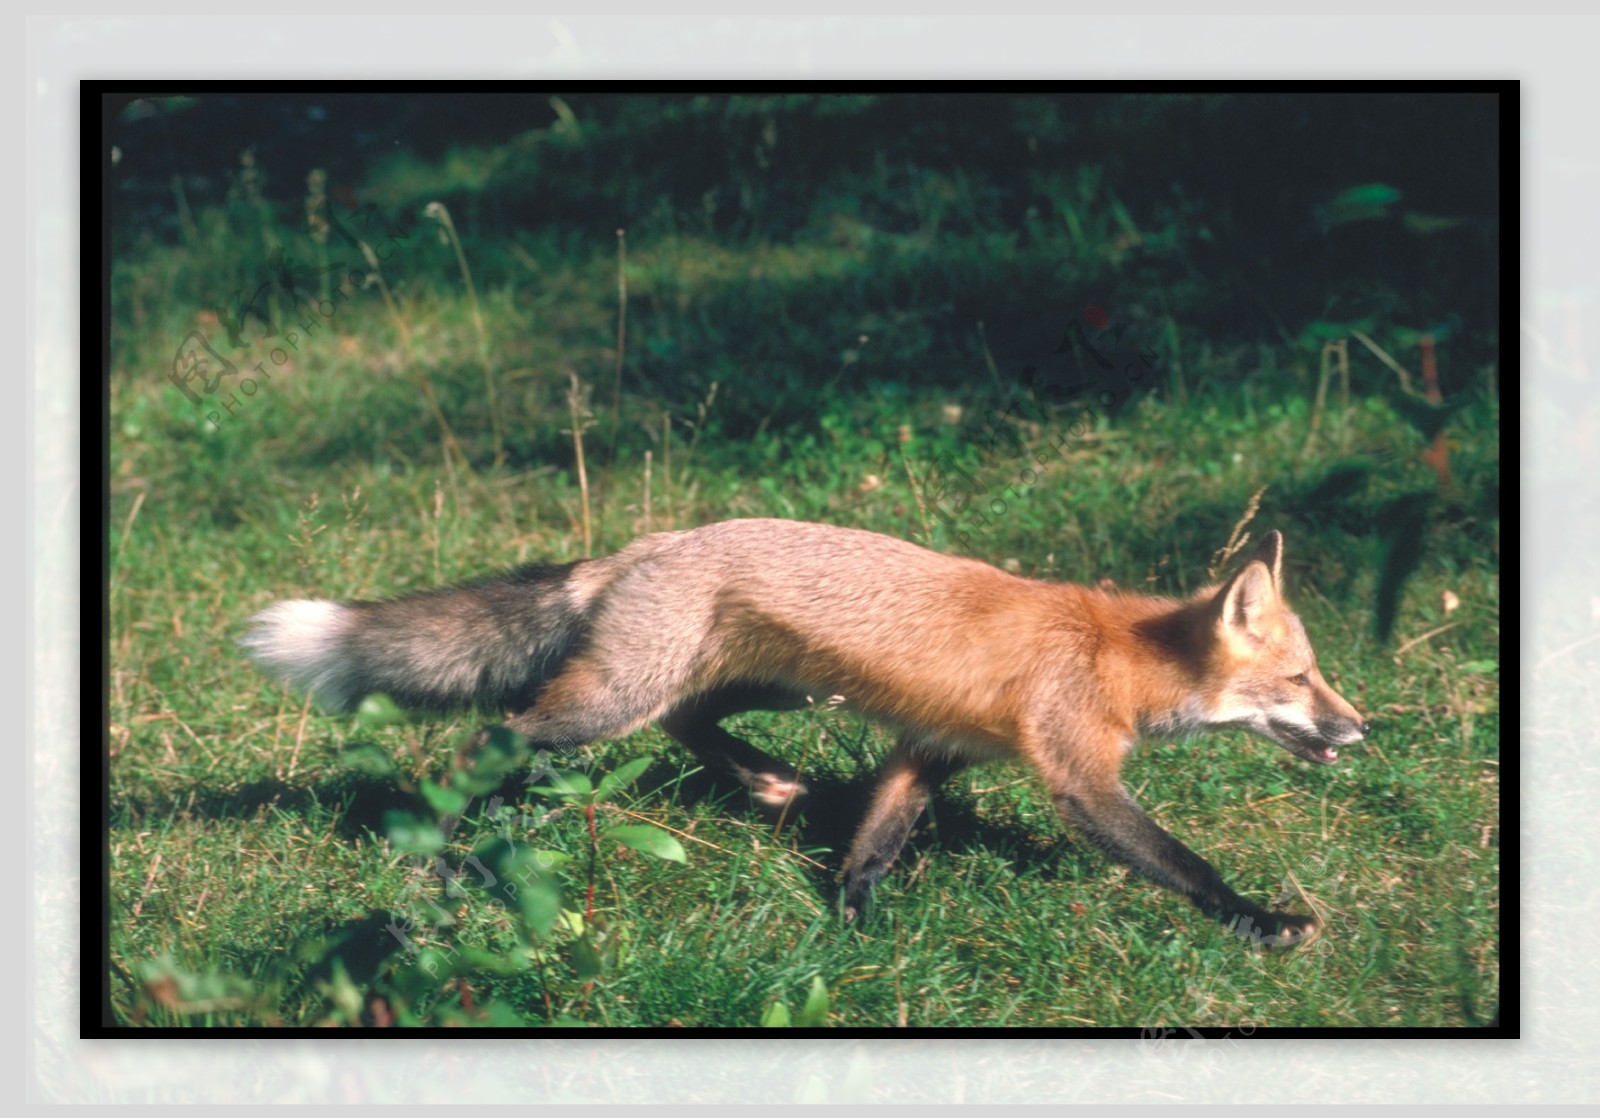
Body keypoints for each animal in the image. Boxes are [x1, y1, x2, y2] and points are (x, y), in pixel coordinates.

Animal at [243, 515, 1369, 947]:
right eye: (1301, 679)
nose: (1361, 728)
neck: (1116, 653)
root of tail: (636, 548)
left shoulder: (932, 748)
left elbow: (876, 837)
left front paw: (854, 919)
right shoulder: (1079, 779)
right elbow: (1183, 863)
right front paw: (1261, 921)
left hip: (774, 692)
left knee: (694, 723)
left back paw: (771, 785)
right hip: (606, 704)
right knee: (497, 735)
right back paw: (440, 846)